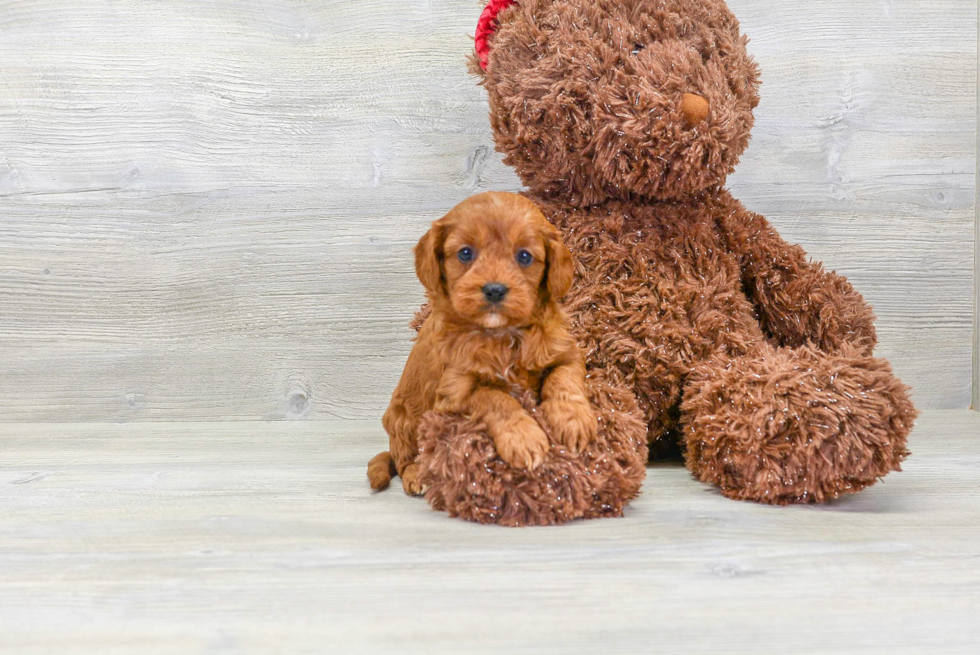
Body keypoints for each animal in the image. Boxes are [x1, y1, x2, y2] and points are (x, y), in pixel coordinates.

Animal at [370, 192, 592, 494]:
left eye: (524, 256)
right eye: (465, 253)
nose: (495, 290)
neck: (502, 335)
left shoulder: (566, 352)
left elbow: (564, 380)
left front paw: (573, 420)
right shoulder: (454, 391)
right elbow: (495, 398)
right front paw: (523, 437)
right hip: (401, 420)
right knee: (405, 458)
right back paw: (417, 474)